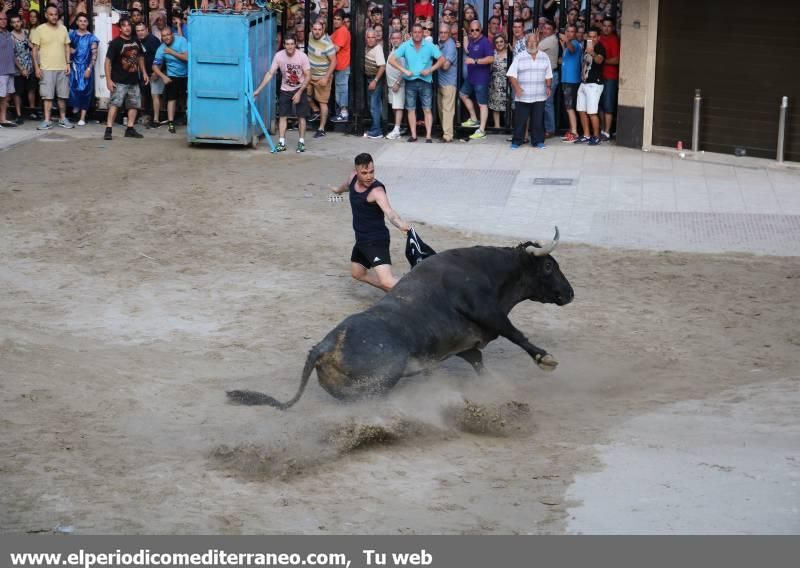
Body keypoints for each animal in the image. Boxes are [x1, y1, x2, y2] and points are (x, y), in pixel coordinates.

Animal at [228, 226, 572, 408]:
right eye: (548, 266)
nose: (570, 293)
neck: (490, 272)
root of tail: (322, 347)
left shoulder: (465, 346)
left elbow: (479, 363)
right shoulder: (487, 312)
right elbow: (515, 333)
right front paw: (546, 359)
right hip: (382, 380)